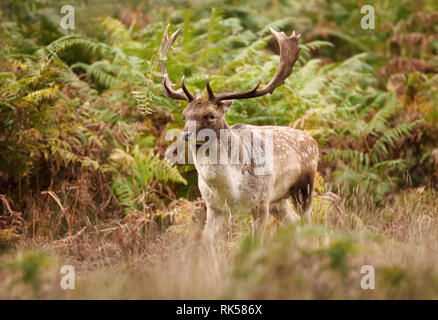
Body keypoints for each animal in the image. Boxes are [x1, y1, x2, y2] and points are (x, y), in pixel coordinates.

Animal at [160, 25, 318, 240]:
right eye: (184, 115)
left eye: (211, 115)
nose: (185, 135)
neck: (231, 191)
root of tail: (313, 141)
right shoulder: (213, 206)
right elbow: (206, 240)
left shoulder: (261, 202)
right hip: (278, 200)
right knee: (294, 223)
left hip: (304, 188)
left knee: (310, 223)